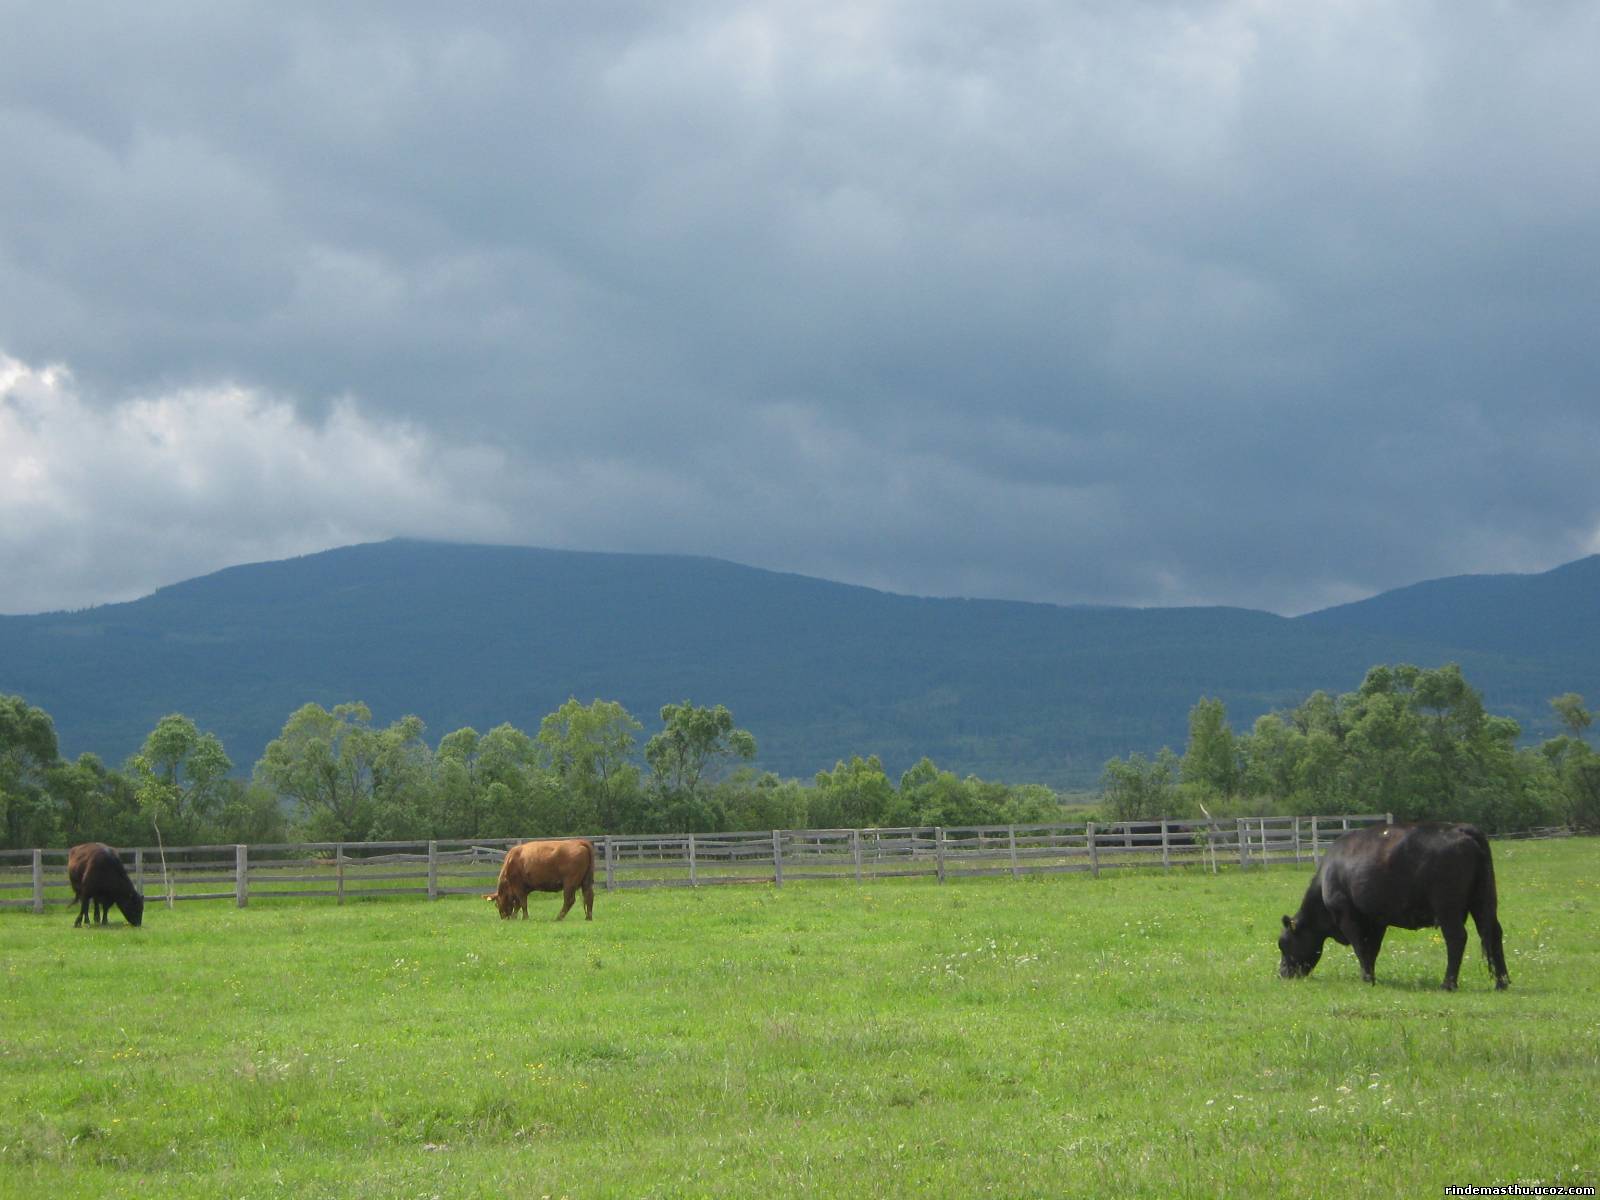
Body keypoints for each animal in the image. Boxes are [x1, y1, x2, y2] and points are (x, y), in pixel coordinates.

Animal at [1277, 821, 1508, 991]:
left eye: (1284, 944)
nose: (1282, 974)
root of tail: (1461, 828)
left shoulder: (1348, 917)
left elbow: (1360, 947)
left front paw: (1367, 979)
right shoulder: (1377, 920)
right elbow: (1372, 949)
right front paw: (1371, 976)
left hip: (1447, 908)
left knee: (1457, 938)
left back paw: (1448, 984)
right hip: (1484, 901)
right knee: (1493, 933)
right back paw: (1502, 982)